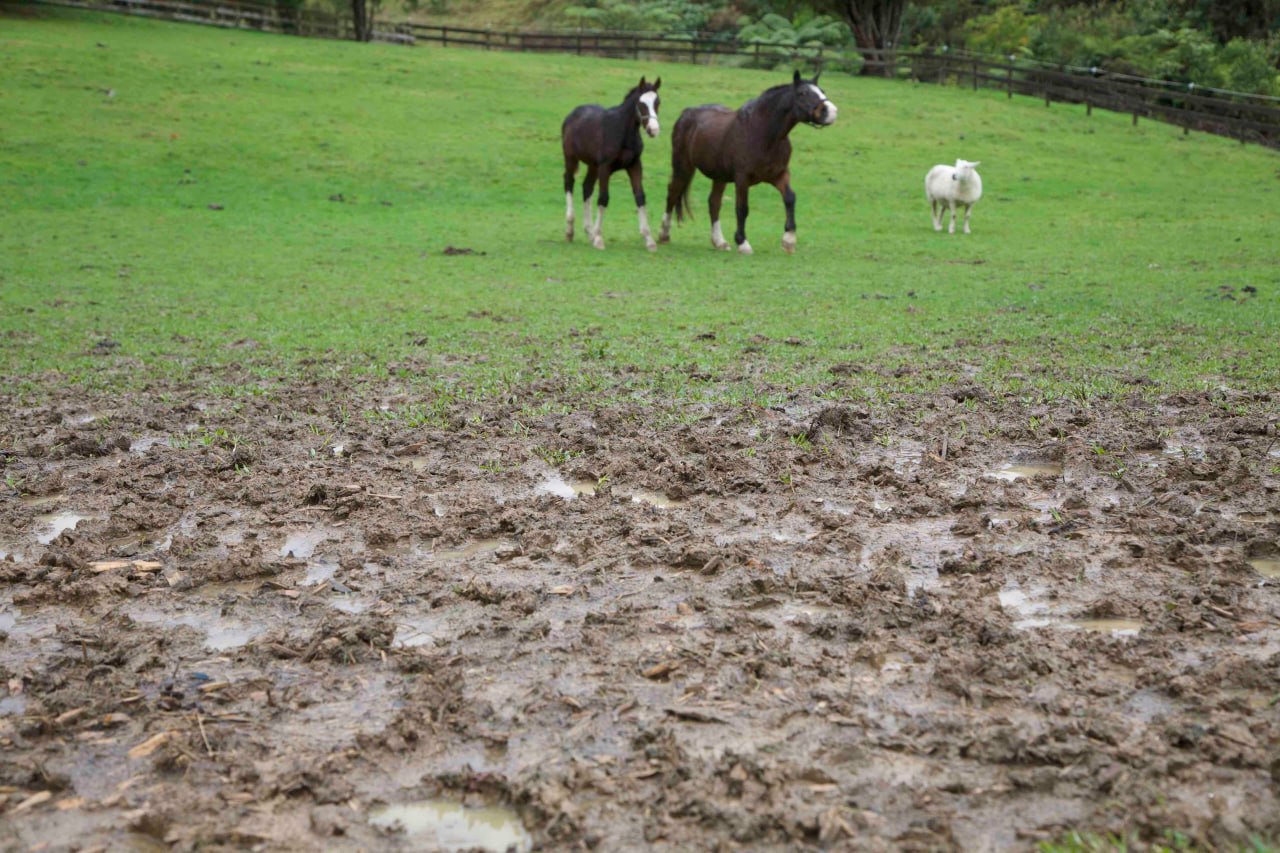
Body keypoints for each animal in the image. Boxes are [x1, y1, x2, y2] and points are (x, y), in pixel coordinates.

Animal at [561, 77, 661, 251]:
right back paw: (570, 231)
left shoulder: (635, 165)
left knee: (586, 187)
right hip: (571, 159)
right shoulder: (605, 167)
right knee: (569, 182)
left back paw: (589, 232)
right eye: (641, 104)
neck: (623, 131)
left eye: (657, 102)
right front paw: (599, 239)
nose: (653, 129)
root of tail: (572, 114)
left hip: (593, 165)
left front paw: (649, 240)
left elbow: (640, 197)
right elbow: (603, 198)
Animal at [658, 70, 836, 255]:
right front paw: (742, 242)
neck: (763, 133)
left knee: (714, 202)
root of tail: (686, 113)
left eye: (822, 91)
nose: (831, 112)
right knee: (673, 193)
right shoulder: (742, 179)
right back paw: (664, 234)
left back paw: (719, 241)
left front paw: (789, 240)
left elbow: (790, 198)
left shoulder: (779, 175)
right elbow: (742, 208)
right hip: (682, 166)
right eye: (803, 93)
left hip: (719, 176)